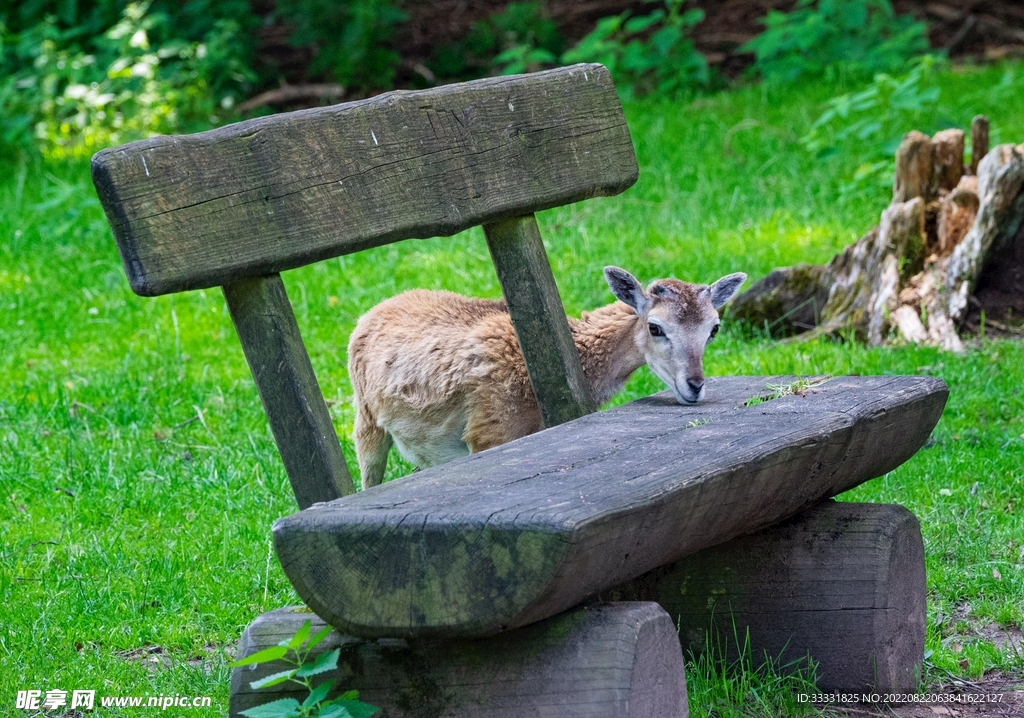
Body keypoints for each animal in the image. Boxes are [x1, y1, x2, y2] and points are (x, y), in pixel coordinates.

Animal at [347, 266, 747, 488]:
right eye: (655, 327)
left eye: (713, 329)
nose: (695, 386)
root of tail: (370, 313)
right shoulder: (489, 430)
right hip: (365, 419)